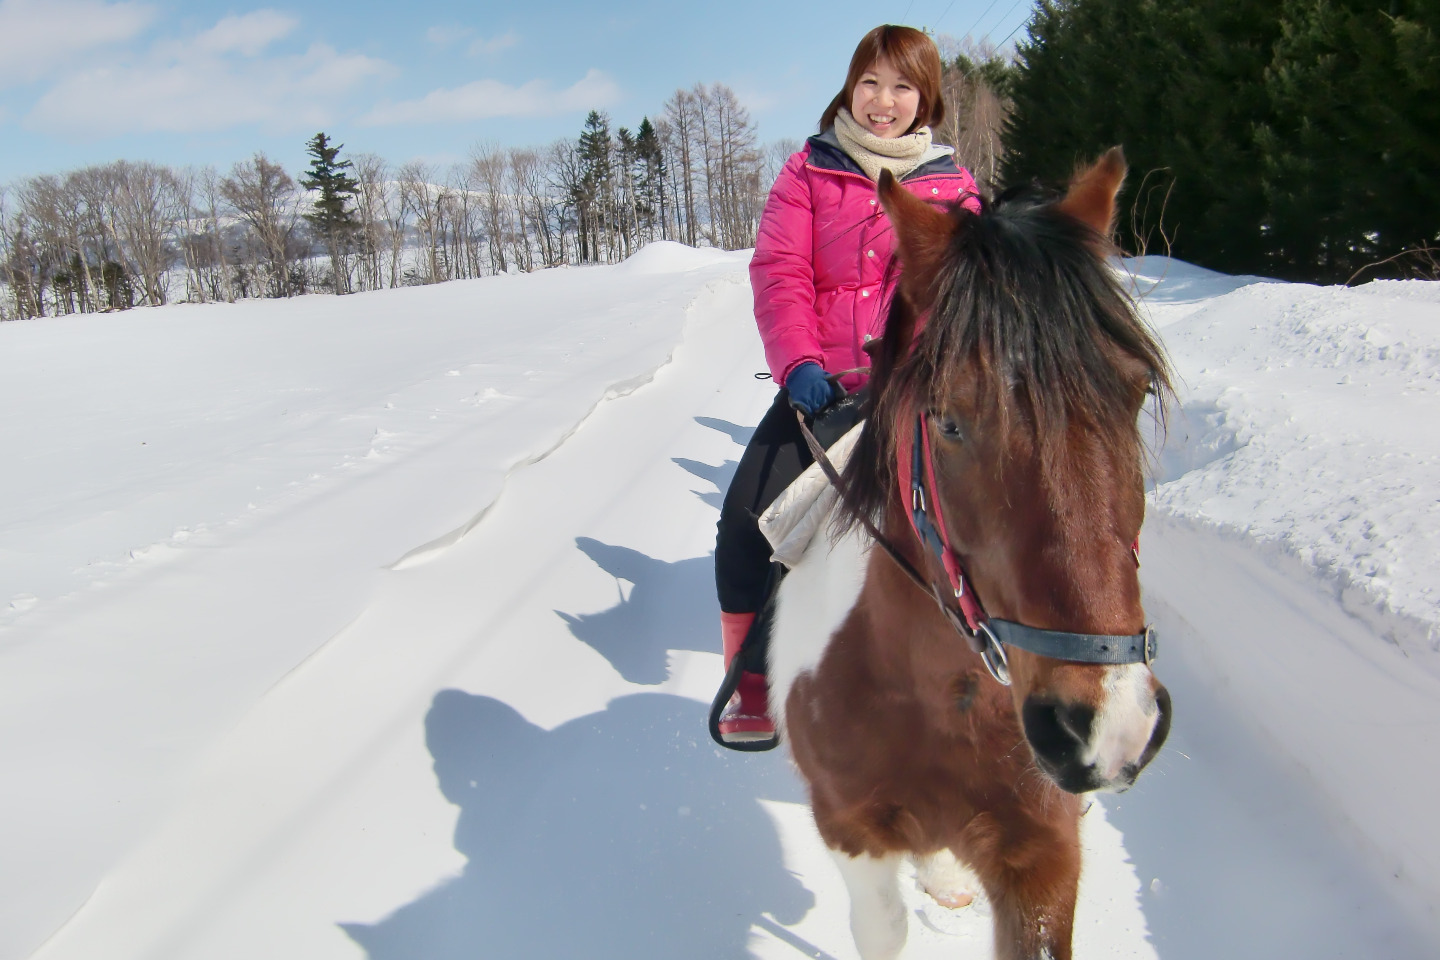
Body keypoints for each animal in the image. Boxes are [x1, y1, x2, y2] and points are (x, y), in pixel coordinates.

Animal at [771, 151, 1175, 960]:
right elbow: (882, 928)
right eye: (949, 422)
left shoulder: (1043, 855)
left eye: (1136, 390)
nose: (1106, 725)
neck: (940, 696)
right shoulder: (851, 833)